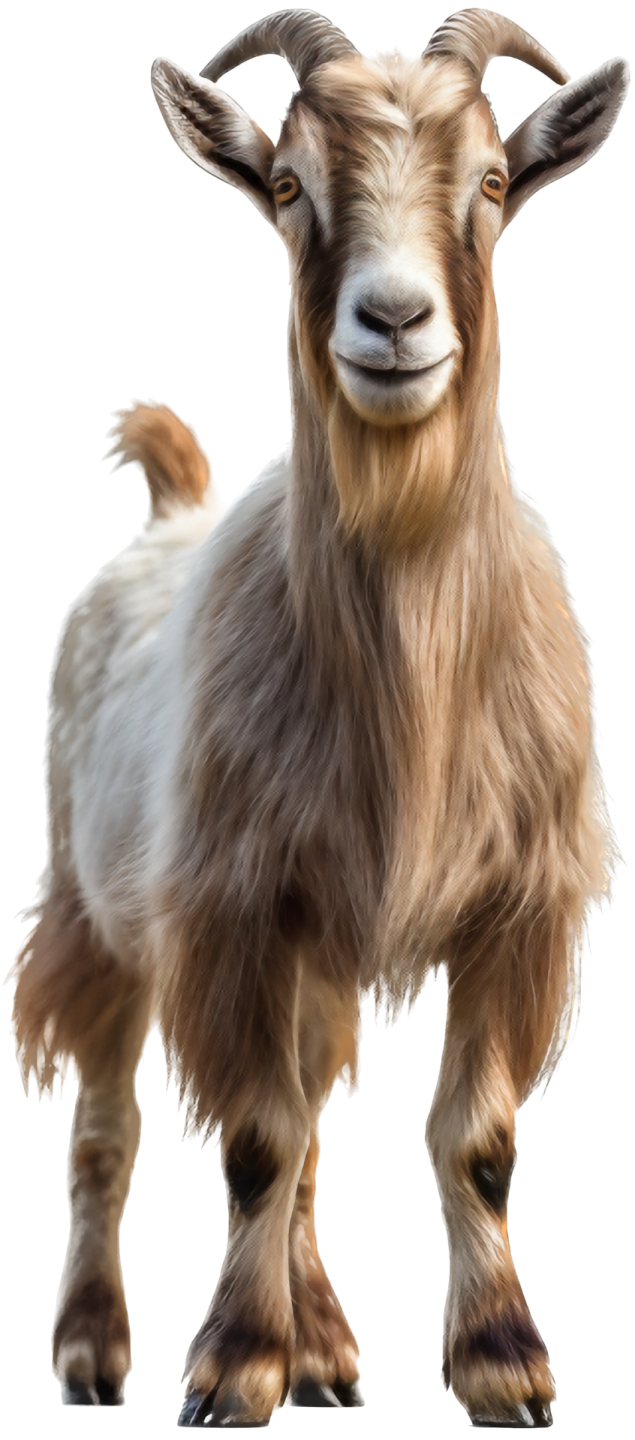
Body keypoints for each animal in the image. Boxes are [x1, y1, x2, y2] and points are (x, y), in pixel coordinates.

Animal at [6, 6, 628, 1429]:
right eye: (288, 188)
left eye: (492, 185)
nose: (392, 319)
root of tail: (177, 507)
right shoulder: (229, 904)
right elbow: (252, 1139)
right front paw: (233, 1367)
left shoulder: (519, 904)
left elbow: (472, 1140)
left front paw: (499, 1367)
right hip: (96, 905)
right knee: (110, 1134)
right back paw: (95, 1353)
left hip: (318, 948)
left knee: (306, 1130)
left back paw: (329, 1354)